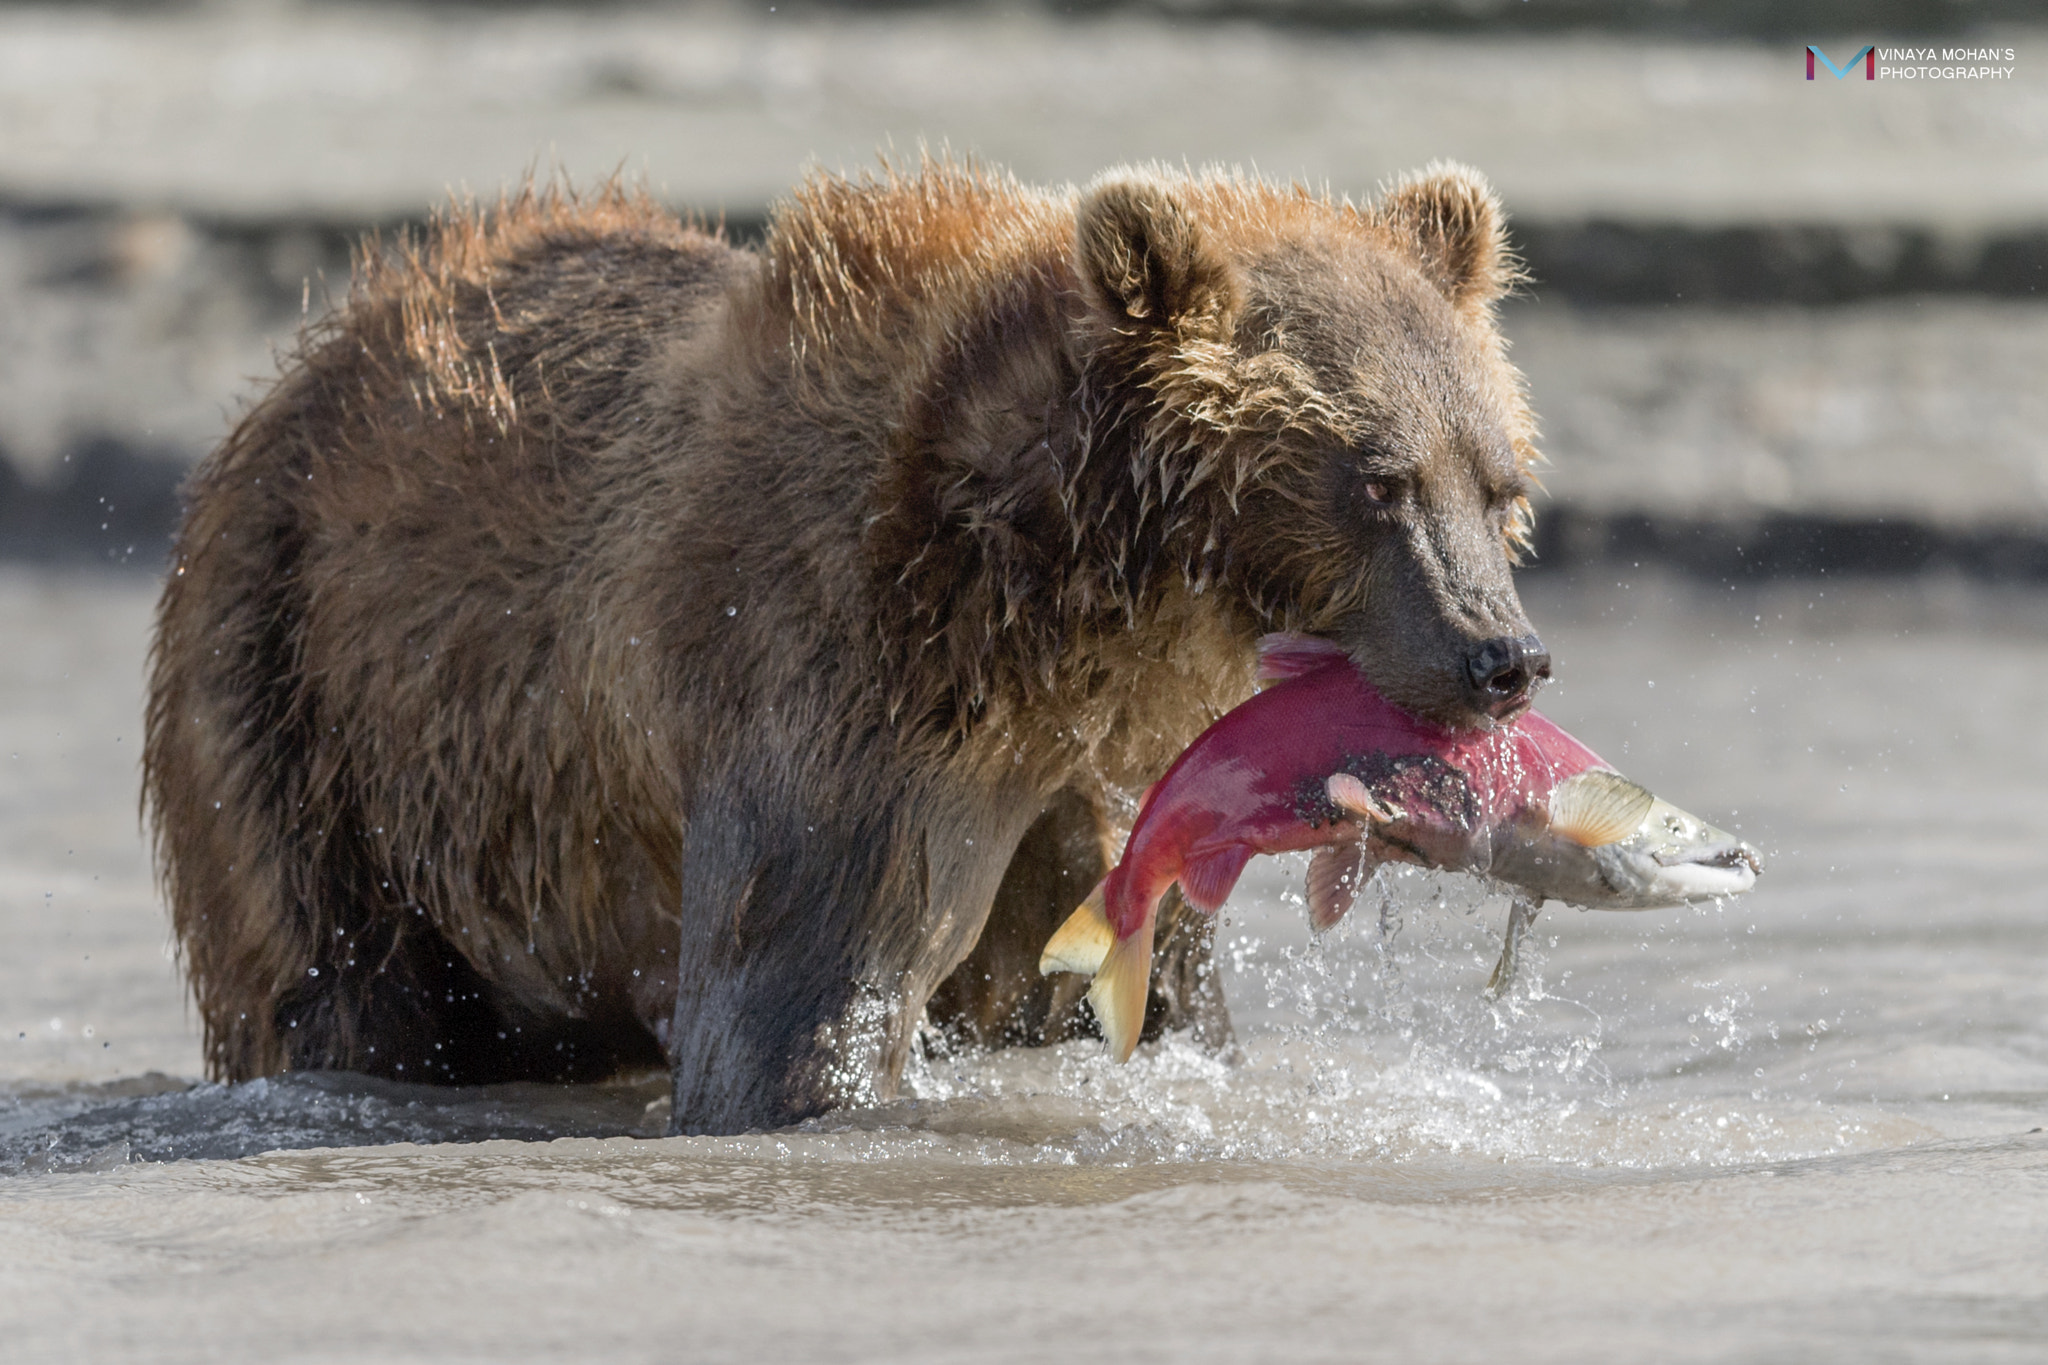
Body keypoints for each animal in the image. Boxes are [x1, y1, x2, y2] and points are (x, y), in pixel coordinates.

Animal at [144, 160, 1540, 1137]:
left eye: (1498, 482)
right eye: (1378, 480)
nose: (1501, 656)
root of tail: (330, 342)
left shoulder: (1109, 786)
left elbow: (1136, 997)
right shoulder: (838, 684)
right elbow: (793, 1016)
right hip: (300, 696)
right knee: (325, 979)